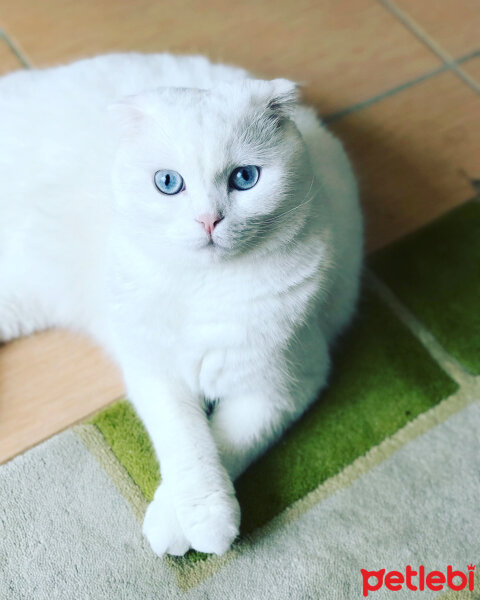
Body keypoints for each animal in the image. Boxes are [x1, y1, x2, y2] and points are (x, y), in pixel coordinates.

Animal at [0, 54, 360, 556]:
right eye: (168, 183)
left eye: (245, 178)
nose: (209, 220)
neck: (206, 288)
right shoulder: (156, 373)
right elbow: (188, 442)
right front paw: (204, 520)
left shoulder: (282, 387)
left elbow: (227, 442)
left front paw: (184, 523)